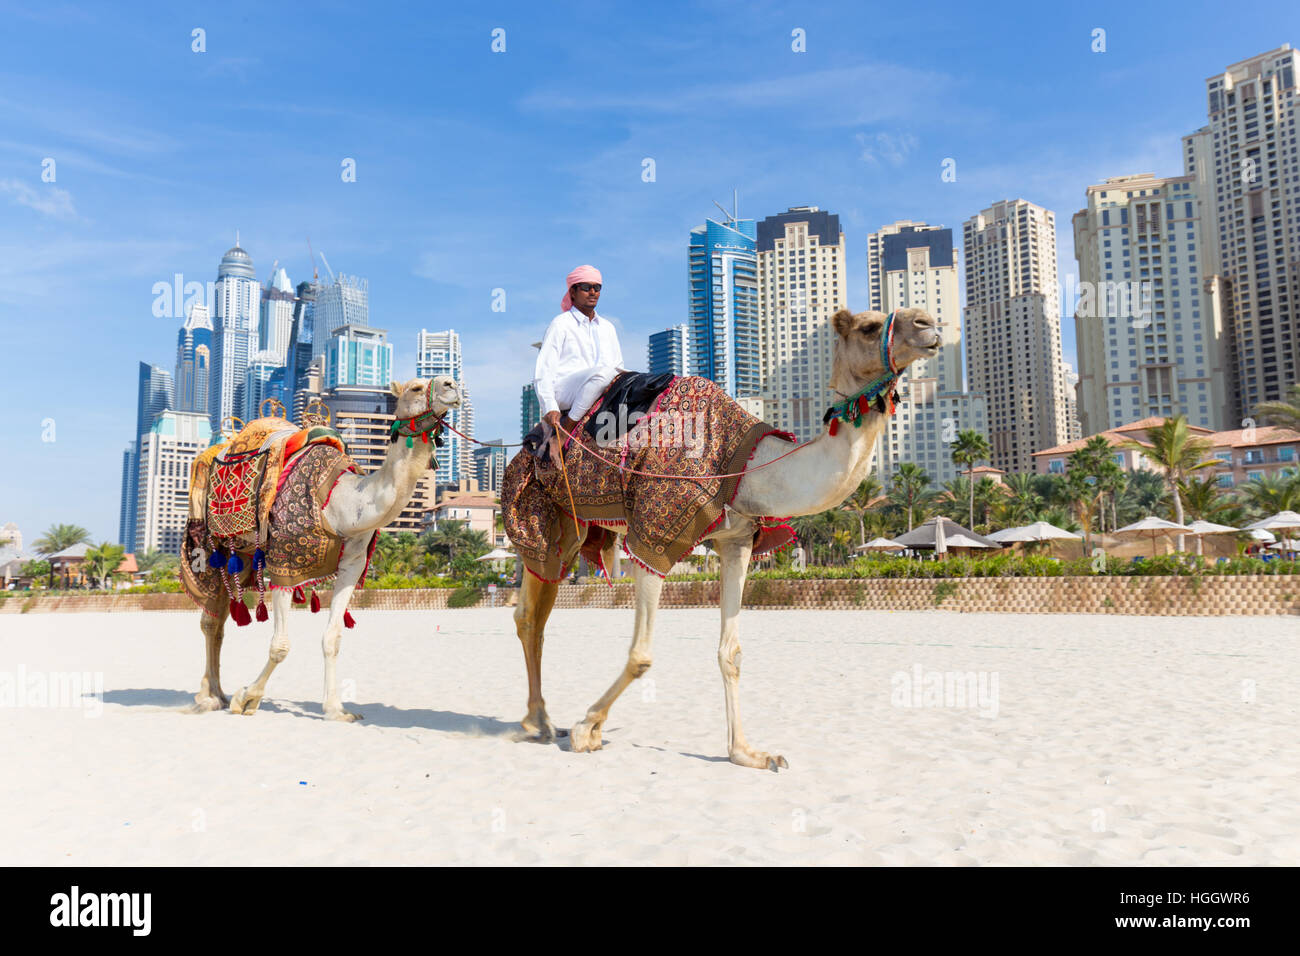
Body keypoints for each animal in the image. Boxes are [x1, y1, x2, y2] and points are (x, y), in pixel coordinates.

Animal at [187, 377, 462, 723]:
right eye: (415, 387)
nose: (452, 385)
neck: (343, 504)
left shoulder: (352, 565)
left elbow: (332, 638)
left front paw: (336, 710)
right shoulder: (285, 564)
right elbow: (280, 645)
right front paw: (246, 698)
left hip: (244, 556)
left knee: (221, 619)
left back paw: (218, 693)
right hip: (209, 546)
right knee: (210, 620)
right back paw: (209, 697)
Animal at [512, 306, 941, 770]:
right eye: (868, 326)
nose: (928, 324)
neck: (746, 468)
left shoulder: (738, 541)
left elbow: (730, 652)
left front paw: (749, 753)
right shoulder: (652, 538)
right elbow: (641, 655)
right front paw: (587, 729)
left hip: (576, 533)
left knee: (537, 613)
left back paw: (539, 720)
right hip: (539, 518)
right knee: (528, 613)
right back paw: (538, 723)